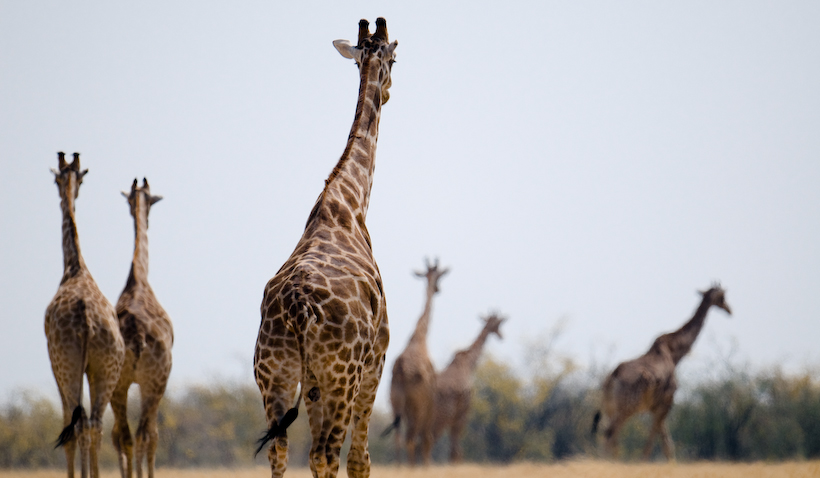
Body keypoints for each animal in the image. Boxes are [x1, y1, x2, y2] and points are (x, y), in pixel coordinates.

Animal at [384, 260, 448, 464]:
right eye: (438, 276)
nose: (438, 289)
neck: (420, 337)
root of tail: (402, 370)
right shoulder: (432, 400)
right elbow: (427, 439)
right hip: (416, 407)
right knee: (412, 438)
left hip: (395, 402)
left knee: (398, 439)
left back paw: (399, 467)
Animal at [432, 312, 502, 462]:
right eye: (497, 323)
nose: (501, 335)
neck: (469, 363)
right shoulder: (462, 412)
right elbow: (456, 450)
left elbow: (455, 449)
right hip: (441, 416)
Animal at [592, 284, 732, 460]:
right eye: (722, 296)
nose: (729, 309)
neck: (675, 354)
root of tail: (612, 377)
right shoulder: (666, 403)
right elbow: (660, 443)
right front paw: (643, 461)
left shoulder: (656, 407)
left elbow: (666, 443)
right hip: (628, 407)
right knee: (610, 433)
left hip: (611, 408)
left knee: (611, 436)